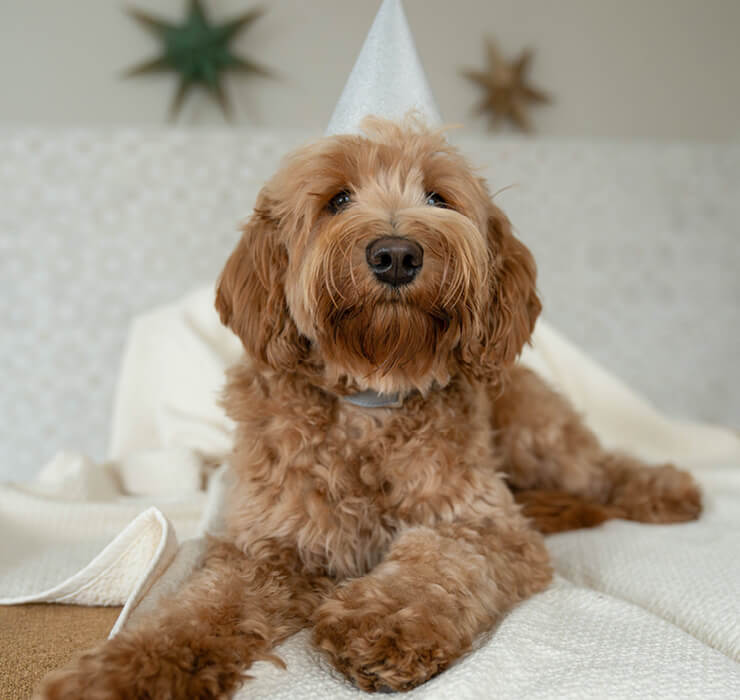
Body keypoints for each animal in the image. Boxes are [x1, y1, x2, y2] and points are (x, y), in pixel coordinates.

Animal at [40, 117, 700, 696]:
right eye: (337, 200)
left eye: (437, 196)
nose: (397, 254)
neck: (372, 397)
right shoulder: (265, 549)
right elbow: (197, 612)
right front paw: (118, 672)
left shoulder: (485, 525)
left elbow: (437, 563)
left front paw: (380, 624)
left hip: (538, 438)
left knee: (603, 466)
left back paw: (666, 489)